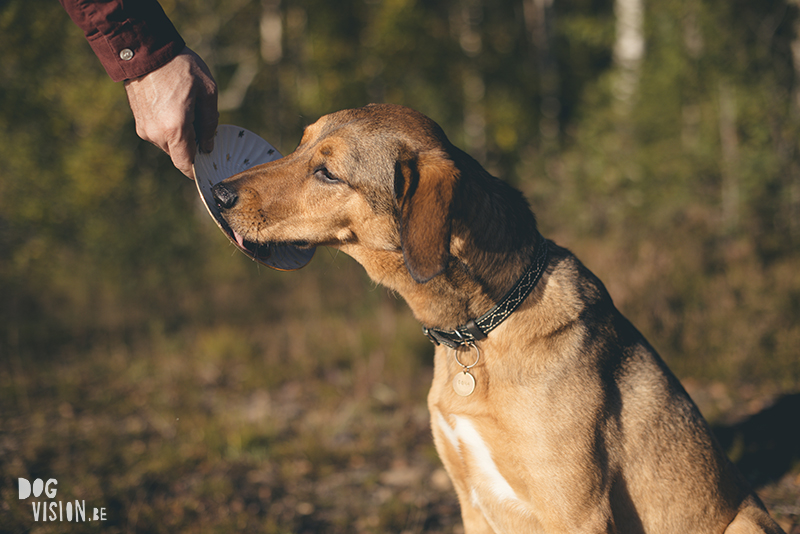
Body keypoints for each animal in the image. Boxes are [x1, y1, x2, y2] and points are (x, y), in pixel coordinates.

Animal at [209, 102, 784, 532]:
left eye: (327, 172)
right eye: (300, 143)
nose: (218, 194)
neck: (481, 329)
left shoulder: (577, 511)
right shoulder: (470, 499)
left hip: (748, 521)